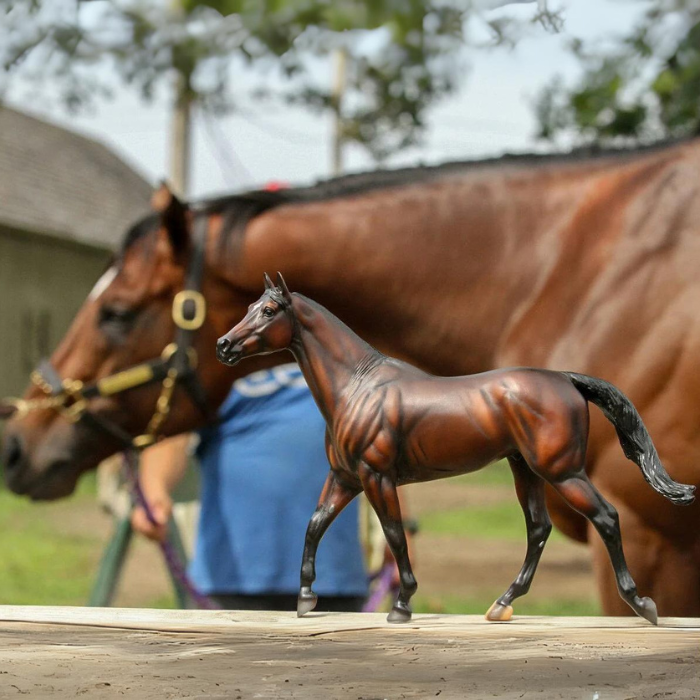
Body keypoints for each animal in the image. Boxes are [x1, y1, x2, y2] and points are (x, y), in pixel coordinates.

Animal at [217, 274, 696, 624]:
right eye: (249, 308)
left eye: (269, 310)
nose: (224, 345)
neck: (358, 385)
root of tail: (565, 379)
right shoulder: (345, 477)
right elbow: (314, 524)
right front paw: (304, 599)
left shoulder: (376, 476)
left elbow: (394, 534)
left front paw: (402, 605)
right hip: (526, 470)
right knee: (538, 529)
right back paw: (503, 604)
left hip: (562, 472)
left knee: (606, 517)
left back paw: (642, 605)